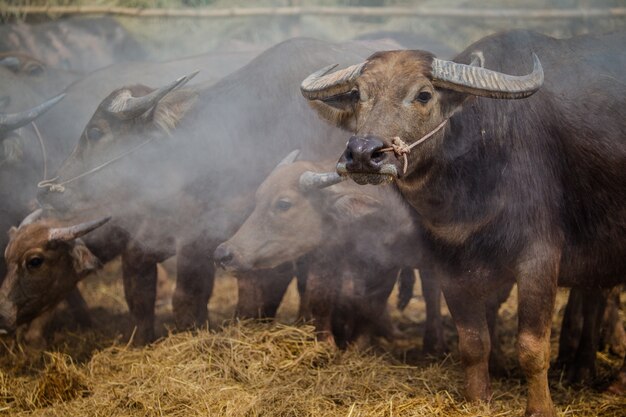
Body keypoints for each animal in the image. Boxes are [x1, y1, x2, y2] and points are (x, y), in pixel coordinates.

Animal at [214, 151, 444, 350]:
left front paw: (357, 345)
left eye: (284, 204)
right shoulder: (337, 256)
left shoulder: (392, 265)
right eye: (258, 199)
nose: (224, 253)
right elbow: (322, 296)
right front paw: (327, 343)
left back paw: (432, 344)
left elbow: (372, 303)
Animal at [298, 30, 624, 416]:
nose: (363, 154)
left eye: (423, 95)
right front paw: (478, 399)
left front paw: (540, 407)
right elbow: (472, 342)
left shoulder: (539, 259)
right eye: (360, 94)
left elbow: (532, 346)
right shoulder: (448, 265)